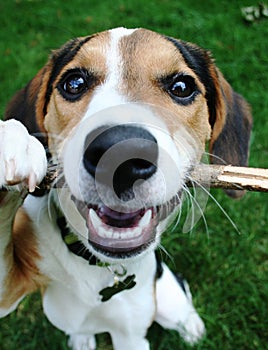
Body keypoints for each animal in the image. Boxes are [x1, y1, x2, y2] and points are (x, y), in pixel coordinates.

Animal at [0, 28, 251, 350]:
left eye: (182, 86)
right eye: (74, 83)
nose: (120, 152)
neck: (101, 268)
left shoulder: (131, 336)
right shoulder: (10, 287)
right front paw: (13, 141)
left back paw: (192, 326)